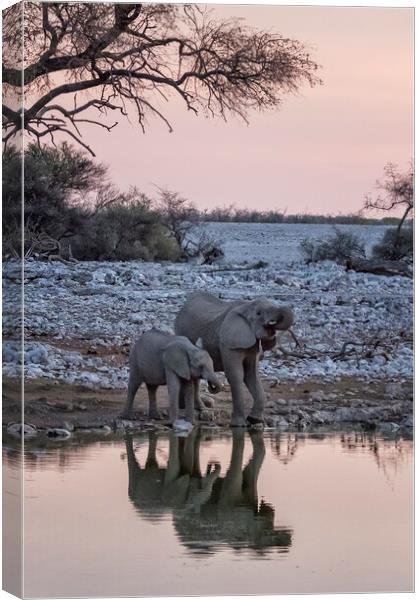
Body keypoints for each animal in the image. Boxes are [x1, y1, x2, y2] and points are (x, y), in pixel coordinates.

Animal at [174, 292, 292, 426]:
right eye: (259, 313)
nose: (210, 386)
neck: (246, 307)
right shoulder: (228, 343)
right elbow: (236, 375)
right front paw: (239, 425)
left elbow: (252, 375)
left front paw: (254, 420)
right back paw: (195, 408)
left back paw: (193, 408)